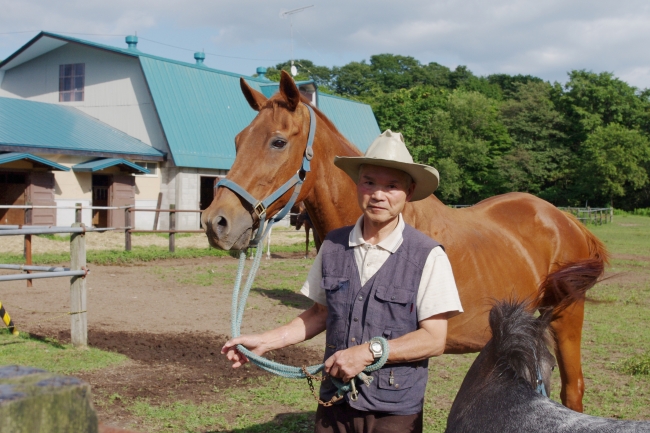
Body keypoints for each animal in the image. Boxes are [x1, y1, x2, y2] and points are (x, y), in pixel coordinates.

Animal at [200, 71, 604, 412]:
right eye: (238, 141)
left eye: (278, 141)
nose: (215, 221)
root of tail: (564, 219)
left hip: (568, 317)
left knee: (573, 389)